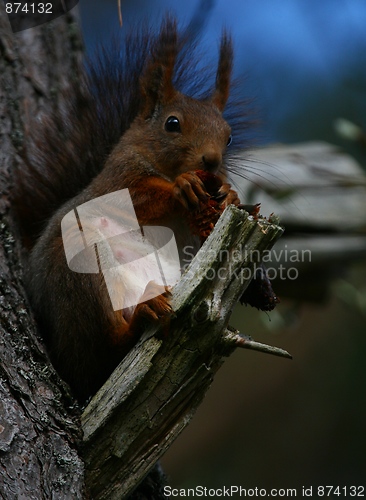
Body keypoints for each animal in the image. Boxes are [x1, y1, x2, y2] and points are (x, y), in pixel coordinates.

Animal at [14, 16, 278, 402]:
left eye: (228, 136)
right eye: (172, 123)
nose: (212, 162)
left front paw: (229, 195)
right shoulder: (117, 181)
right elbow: (141, 196)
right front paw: (183, 186)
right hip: (78, 271)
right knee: (104, 349)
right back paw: (141, 315)